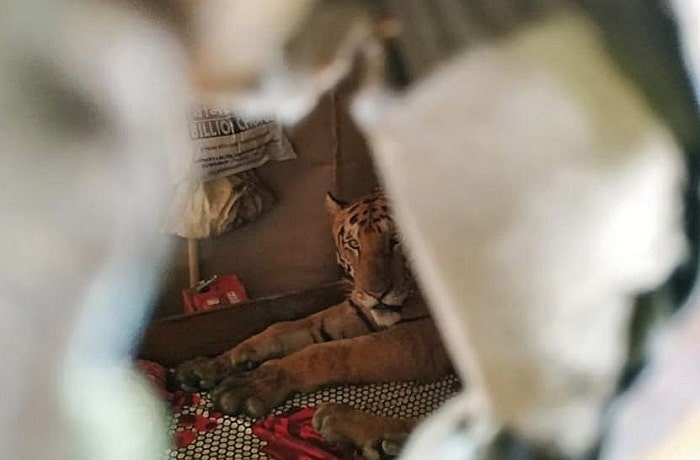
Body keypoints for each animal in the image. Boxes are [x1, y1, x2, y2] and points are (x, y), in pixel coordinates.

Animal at [172, 189, 453, 458]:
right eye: (354, 244)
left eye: (397, 239)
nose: (376, 293)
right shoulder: (358, 310)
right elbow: (284, 329)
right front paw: (210, 366)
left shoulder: (424, 337)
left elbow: (327, 353)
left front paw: (251, 384)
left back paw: (352, 425)